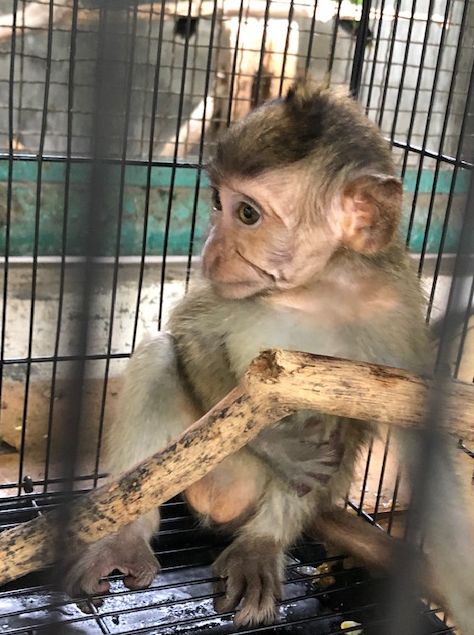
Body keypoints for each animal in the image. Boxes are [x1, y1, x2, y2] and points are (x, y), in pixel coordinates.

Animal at [64, 85, 474, 635]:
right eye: (218, 201)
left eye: (248, 214)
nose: (210, 249)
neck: (320, 287)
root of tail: (219, 510)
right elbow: (192, 337)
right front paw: (277, 446)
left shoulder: (398, 316)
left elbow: (417, 431)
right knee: (160, 356)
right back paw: (128, 534)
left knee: (341, 425)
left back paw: (263, 543)